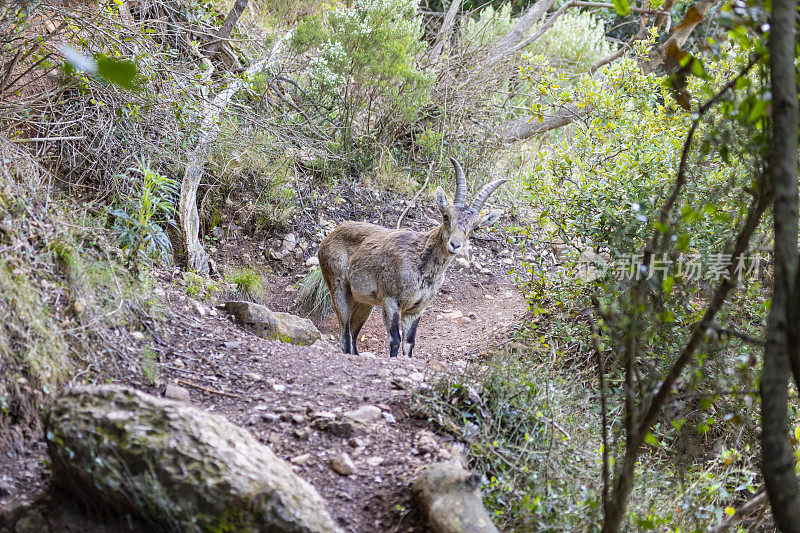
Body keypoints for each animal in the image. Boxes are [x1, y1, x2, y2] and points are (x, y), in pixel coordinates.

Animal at [318, 158, 506, 358]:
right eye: (446, 216)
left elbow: (409, 343)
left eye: (475, 227)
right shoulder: (390, 299)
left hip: (363, 301)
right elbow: (394, 339)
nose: (455, 245)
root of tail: (327, 239)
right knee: (344, 333)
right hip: (338, 286)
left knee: (353, 334)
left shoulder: (416, 308)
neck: (421, 263)